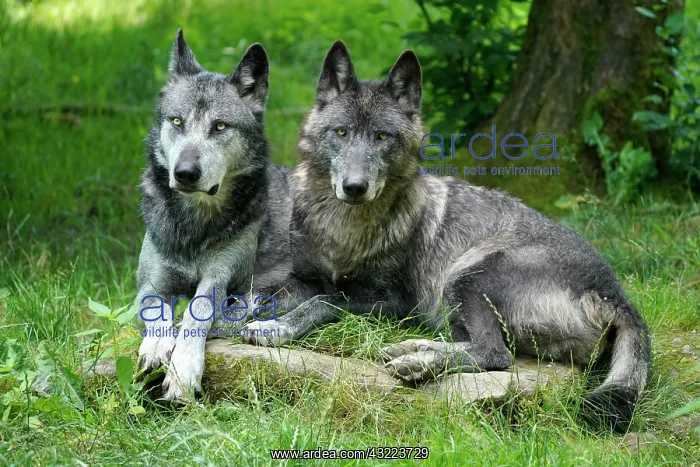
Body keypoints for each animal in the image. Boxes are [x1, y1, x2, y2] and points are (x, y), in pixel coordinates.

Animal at [136, 30, 291, 401]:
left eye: (220, 126)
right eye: (177, 121)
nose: (185, 173)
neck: (195, 226)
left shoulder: (220, 276)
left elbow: (198, 311)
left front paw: (183, 370)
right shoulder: (148, 283)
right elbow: (156, 308)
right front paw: (156, 346)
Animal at [244, 41, 651, 431]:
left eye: (382, 136)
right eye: (341, 132)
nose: (355, 187)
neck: (343, 227)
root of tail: (615, 293)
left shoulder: (394, 302)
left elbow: (323, 302)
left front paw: (277, 327)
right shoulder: (304, 278)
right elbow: (263, 294)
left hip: (465, 276)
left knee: (495, 353)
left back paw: (418, 364)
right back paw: (413, 349)